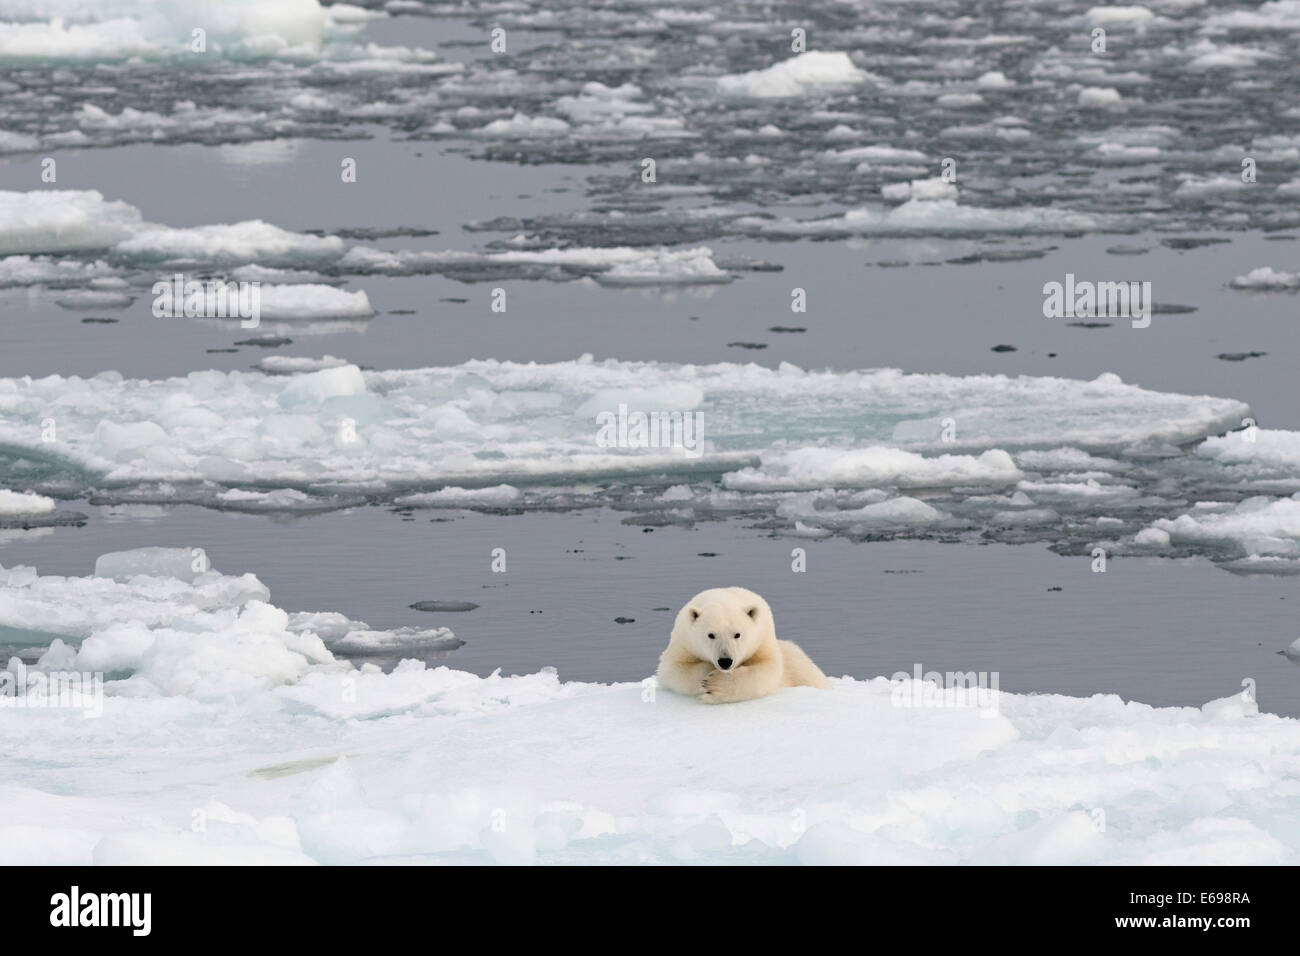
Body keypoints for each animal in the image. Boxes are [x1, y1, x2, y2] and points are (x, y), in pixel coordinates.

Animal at [655, 590, 826, 702]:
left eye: (737, 634)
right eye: (711, 635)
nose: (725, 661)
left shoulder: (762, 639)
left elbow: (767, 670)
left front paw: (714, 684)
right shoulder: (683, 641)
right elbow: (672, 669)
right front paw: (706, 679)